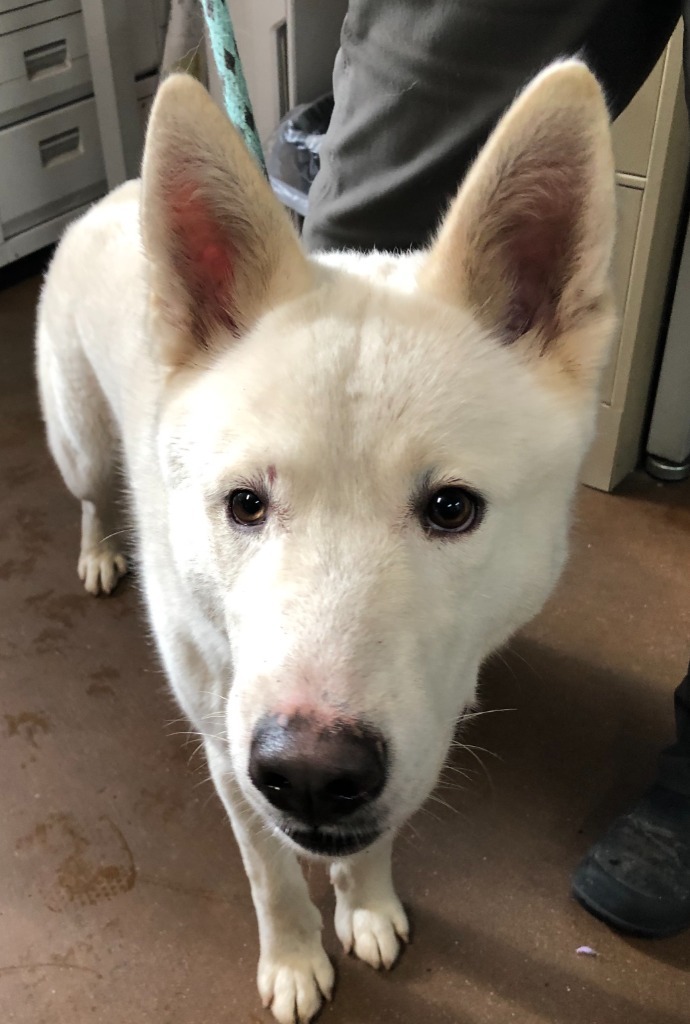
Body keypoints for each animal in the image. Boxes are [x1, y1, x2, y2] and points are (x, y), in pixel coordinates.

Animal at [34, 61, 614, 1024]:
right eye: (244, 505)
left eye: (450, 509)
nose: (308, 774)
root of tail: (114, 195)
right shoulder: (228, 756)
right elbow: (271, 877)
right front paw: (295, 960)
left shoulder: (419, 724)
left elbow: (372, 843)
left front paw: (366, 908)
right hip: (79, 442)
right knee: (85, 493)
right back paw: (98, 551)